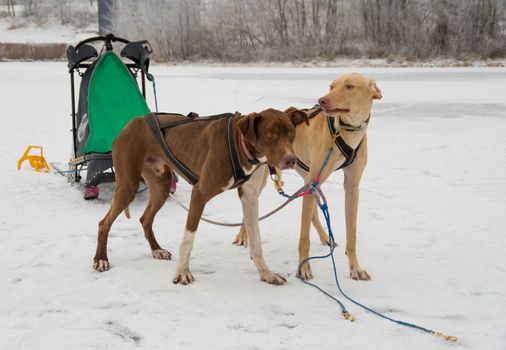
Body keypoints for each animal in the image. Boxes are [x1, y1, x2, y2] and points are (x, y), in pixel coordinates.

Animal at [93, 108, 306, 284]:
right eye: (270, 134)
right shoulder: (199, 194)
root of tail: (130, 123)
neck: (239, 144)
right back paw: (101, 259)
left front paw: (266, 273)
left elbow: (256, 242)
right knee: (104, 223)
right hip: (128, 185)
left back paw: (156, 250)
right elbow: (188, 240)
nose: (290, 160)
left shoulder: (250, 196)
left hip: (162, 185)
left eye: (291, 133)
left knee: (145, 219)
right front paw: (181, 273)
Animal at [235, 73, 382, 282]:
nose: (322, 100)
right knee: (249, 210)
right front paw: (304, 268)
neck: (345, 131)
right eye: (331, 86)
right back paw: (243, 235)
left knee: (312, 211)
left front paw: (355, 267)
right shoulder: (312, 181)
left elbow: (351, 234)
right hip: (265, 181)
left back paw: (325, 237)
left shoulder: (351, 188)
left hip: (308, 179)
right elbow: (304, 238)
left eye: (349, 86)